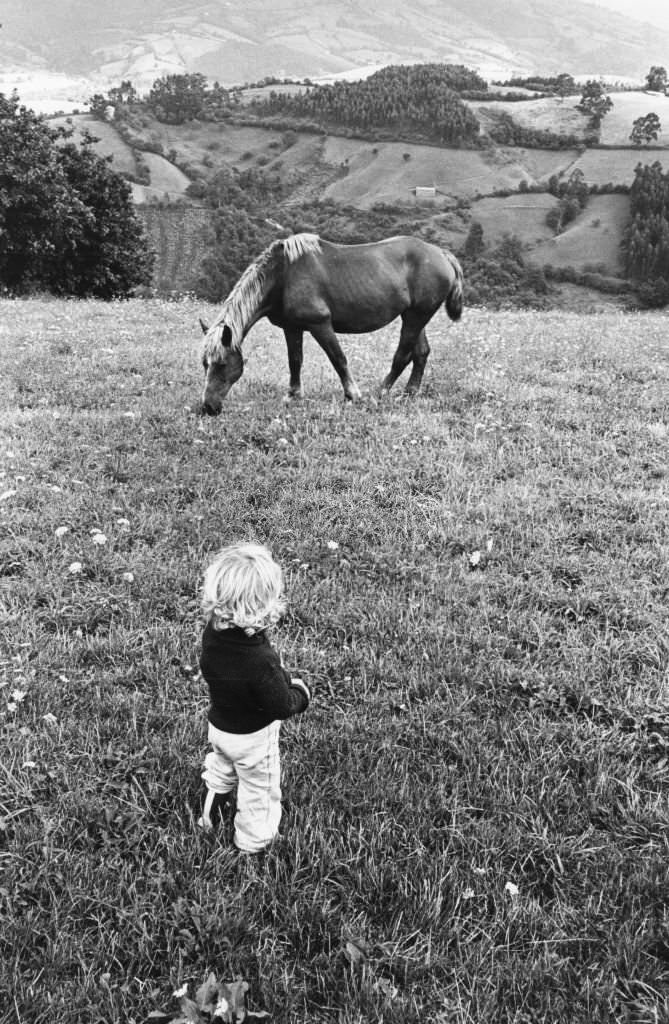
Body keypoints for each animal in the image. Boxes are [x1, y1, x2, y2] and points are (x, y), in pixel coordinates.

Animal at [195, 233, 461, 415]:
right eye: (204, 364)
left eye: (222, 364)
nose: (208, 407)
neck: (284, 274)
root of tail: (442, 254)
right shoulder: (292, 327)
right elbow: (295, 361)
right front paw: (294, 395)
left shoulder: (320, 324)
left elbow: (338, 359)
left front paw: (353, 395)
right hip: (414, 316)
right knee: (421, 352)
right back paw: (409, 392)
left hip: (416, 317)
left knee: (403, 355)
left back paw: (381, 392)